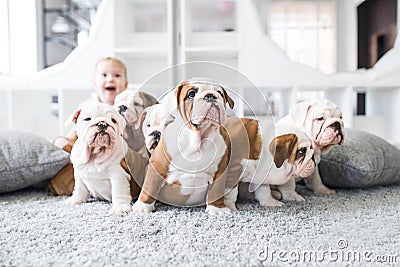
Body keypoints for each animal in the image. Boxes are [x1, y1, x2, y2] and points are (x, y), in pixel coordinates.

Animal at [133, 79, 236, 216]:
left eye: (219, 93)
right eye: (191, 94)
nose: (210, 95)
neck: (198, 141)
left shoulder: (220, 171)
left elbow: (216, 191)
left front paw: (217, 209)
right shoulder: (156, 167)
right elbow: (149, 187)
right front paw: (142, 207)